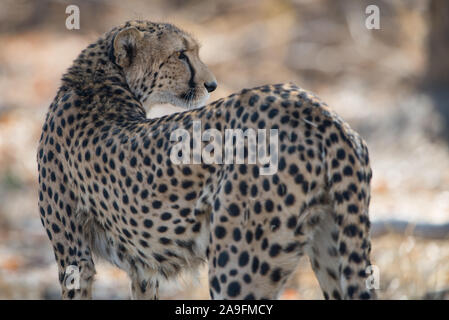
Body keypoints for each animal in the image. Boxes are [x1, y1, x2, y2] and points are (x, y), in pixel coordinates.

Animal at [37, 20, 374, 300]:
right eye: (180, 55)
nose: (212, 85)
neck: (102, 82)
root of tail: (315, 107)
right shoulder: (142, 267)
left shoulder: (75, 258)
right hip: (334, 245)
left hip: (238, 263)